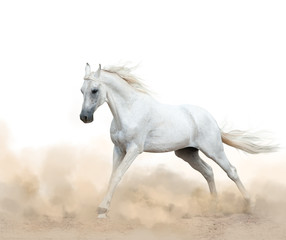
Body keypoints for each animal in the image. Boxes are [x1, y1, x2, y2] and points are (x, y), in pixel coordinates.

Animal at [80, 63, 278, 218]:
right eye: (81, 90)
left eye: (94, 90)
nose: (84, 117)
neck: (130, 110)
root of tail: (212, 120)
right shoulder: (118, 149)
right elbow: (112, 176)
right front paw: (104, 211)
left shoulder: (134, 149)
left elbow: (117, 176)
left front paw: (102, 209)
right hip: (187, 153)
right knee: (208, 172)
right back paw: (213, 208)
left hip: (214, 150)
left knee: (231, 171)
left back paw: (250, 206)